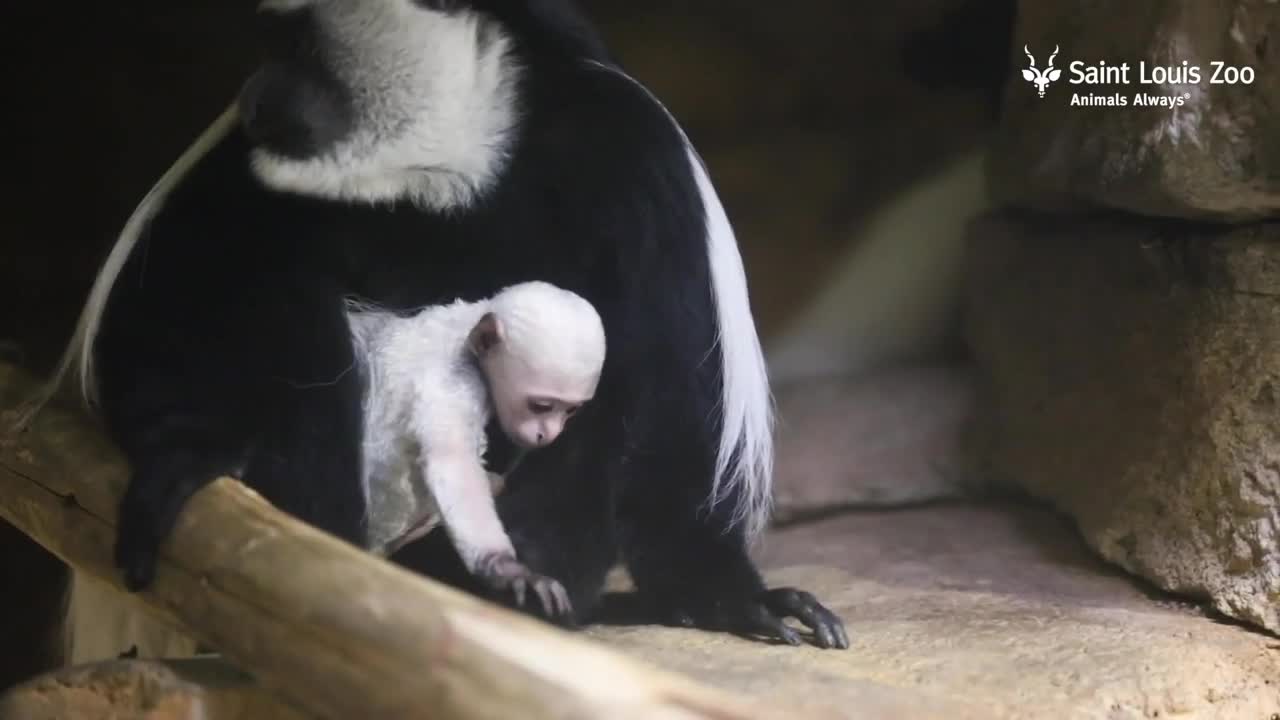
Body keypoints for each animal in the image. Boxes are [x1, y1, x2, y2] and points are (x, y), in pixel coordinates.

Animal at [348, 280, 606, 617]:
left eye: (570, 411)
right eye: (541, 406)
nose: (547, 434)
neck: (463, 333)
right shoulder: (455, 382)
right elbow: (451, 459)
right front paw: (509, 570)